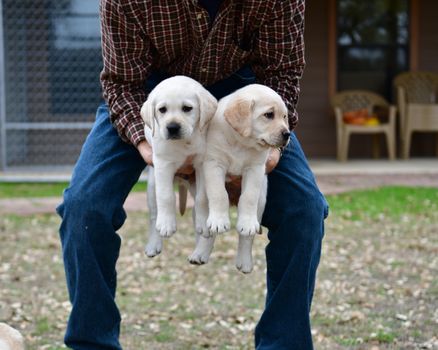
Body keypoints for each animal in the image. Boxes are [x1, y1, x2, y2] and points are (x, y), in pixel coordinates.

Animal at [140, 76, 217, 258]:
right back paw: (154, 243)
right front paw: (167, 225)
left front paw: (203, 224)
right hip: (152, 186)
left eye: (187, 108)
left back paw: (200, 249)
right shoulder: (163, 164)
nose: (172, 127)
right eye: (162, 110)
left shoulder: (201, 163)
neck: (183, 143)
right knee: (154, 215)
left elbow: (202, 198)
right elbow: (166, 196)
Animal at [189, 83, 290, 272]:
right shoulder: (214, 164)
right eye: (269, 115)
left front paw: (247, 224)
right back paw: (200, 252)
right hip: (203, 197)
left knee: (246, 237)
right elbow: (219, 194)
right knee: (208, 230)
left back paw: (245, 261)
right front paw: (219, 221)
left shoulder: (256, 169)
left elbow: (248, 197)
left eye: (285, 116)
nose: (287, 134)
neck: (240, 143)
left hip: (261, 202)